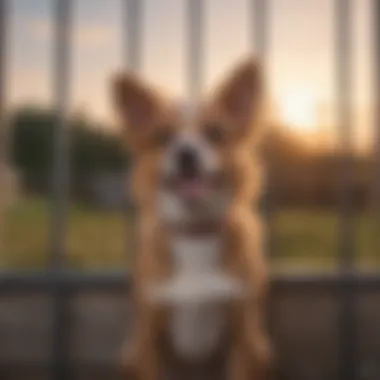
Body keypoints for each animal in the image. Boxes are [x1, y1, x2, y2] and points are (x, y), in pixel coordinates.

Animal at [111, 57, 272, 380]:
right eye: (162, 137)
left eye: (215, 133)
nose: (186, 153)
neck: (195, 233)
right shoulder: (148, 340)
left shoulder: (242, 338)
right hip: (129, 352)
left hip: (261, 349)